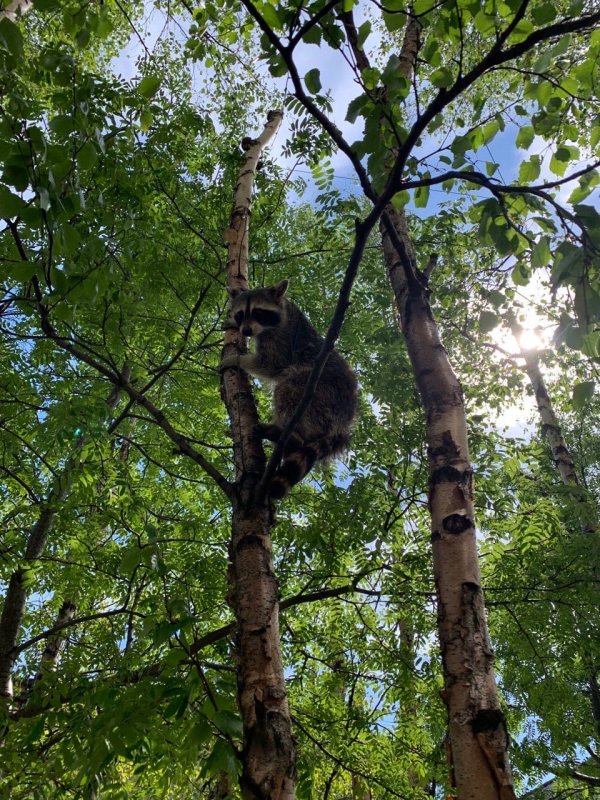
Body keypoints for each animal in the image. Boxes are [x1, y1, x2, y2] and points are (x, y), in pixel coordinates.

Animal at [224, 278, 356, 496]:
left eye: (259, 312)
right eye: (241, 314)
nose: (246, 331)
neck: (284, 307)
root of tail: (343, 422)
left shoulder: (281, 339)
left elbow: (270, 364)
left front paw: (236, 359)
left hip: (319, 391)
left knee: (287, 390)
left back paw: (289, 435)